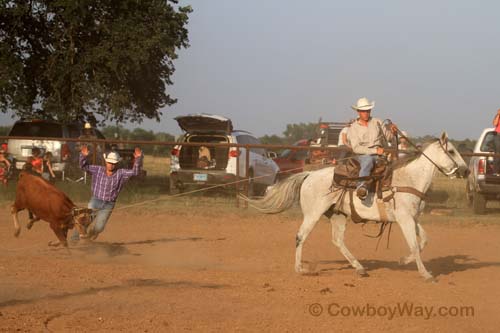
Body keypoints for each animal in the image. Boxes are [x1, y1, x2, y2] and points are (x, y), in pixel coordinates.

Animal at [246, 132, 468, 280]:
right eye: (451, 151)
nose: (465, 171)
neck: (410, 179)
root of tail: (309, 174)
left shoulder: (412, 218)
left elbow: (424, 241)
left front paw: (403, 261)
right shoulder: (404, 219)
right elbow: (414, 244)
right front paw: (425, 274)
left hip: (337, 215)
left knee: (337, 240)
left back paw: (360, 268)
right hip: (313, 214)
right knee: (301, 236)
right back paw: (300, 269)